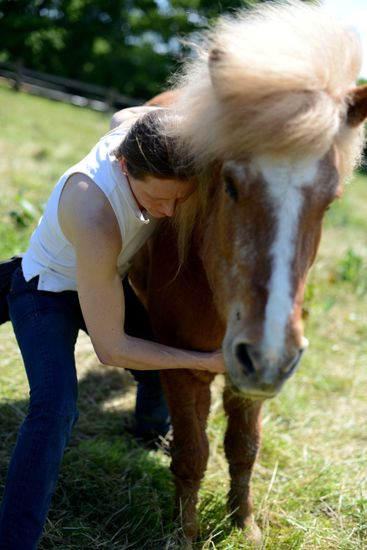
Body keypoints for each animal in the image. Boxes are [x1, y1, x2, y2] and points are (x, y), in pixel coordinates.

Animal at [129, 1, 367, 548]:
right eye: (231, 184)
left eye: (330, 200)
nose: (270, 353)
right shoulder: (183, 366)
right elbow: (192, 454)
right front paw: (187, 533)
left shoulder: (249, 374)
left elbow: (244, 446)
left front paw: (245, 524)